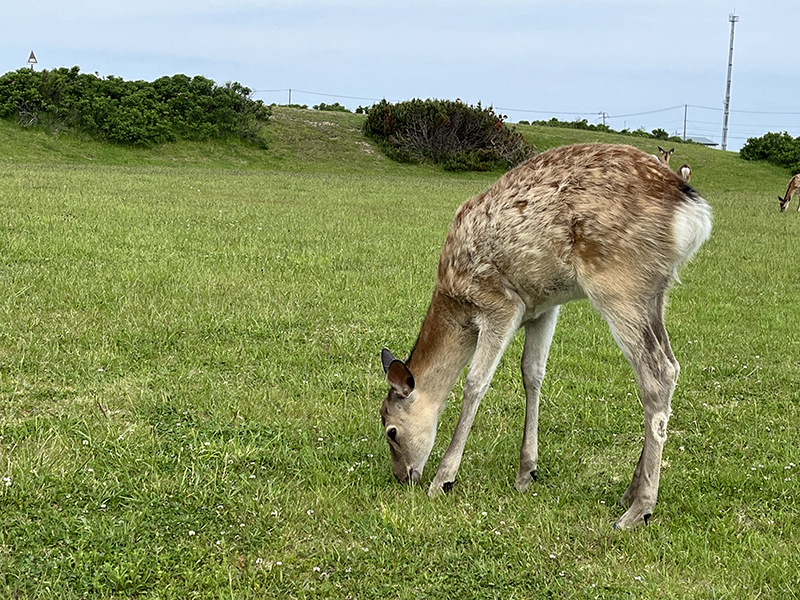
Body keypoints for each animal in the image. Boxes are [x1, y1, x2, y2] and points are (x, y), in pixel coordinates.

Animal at [382, 143, 712, 528]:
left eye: (391, 430)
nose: (403, 476)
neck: (455, 299)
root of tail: (692, 208)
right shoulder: (541, 307)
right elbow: (532, 373)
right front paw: (526, 473)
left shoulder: (500, 304)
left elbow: (476, 382)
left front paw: (443, 479)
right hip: (656, 293)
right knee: (672, 364)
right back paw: (630, 491)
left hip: (618, 284)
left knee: (657, 372)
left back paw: (638, 510)